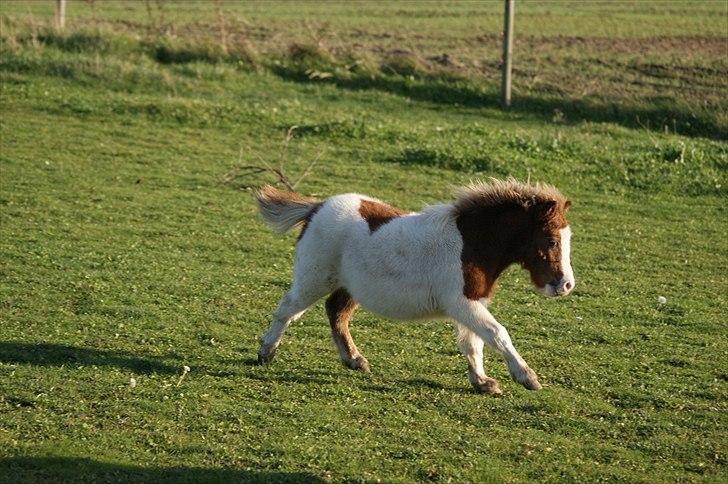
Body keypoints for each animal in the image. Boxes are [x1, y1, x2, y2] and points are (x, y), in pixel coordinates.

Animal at [256, 180, 576, 396]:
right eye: (551, 240)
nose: (566, 285)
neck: (470, 243)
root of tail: (316, 208)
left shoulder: (473, 303)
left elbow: (474, 343)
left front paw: (482, 382)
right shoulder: (462, 303)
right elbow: (497, 334)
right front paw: (527, 377)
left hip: (348, 286)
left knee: (336, 313)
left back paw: (355, 360)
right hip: (315, 279)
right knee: (287, 310)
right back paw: (266, 353)